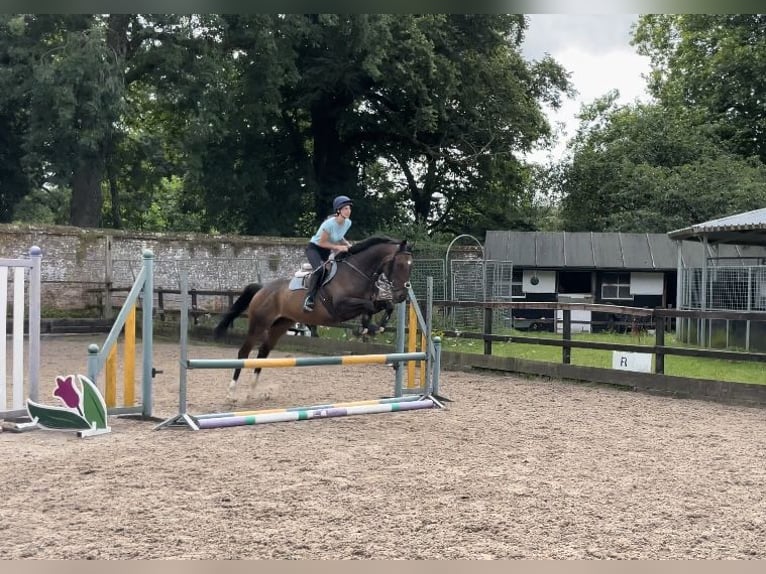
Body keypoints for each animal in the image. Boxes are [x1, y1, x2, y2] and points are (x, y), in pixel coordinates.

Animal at [213, 236, 414, 402]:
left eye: (411, 266)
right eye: (400, 264)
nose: (402, 295)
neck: (358, 272)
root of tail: (263, 288)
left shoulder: (367, 301)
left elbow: (383, 306)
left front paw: (374, 327)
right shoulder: (340, 307)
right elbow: (370, 306)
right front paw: (366, 328)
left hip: (280, 325)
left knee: (263, 352)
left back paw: (252, 391)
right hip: (259, 323)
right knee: (244, 353)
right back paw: (231, 394)